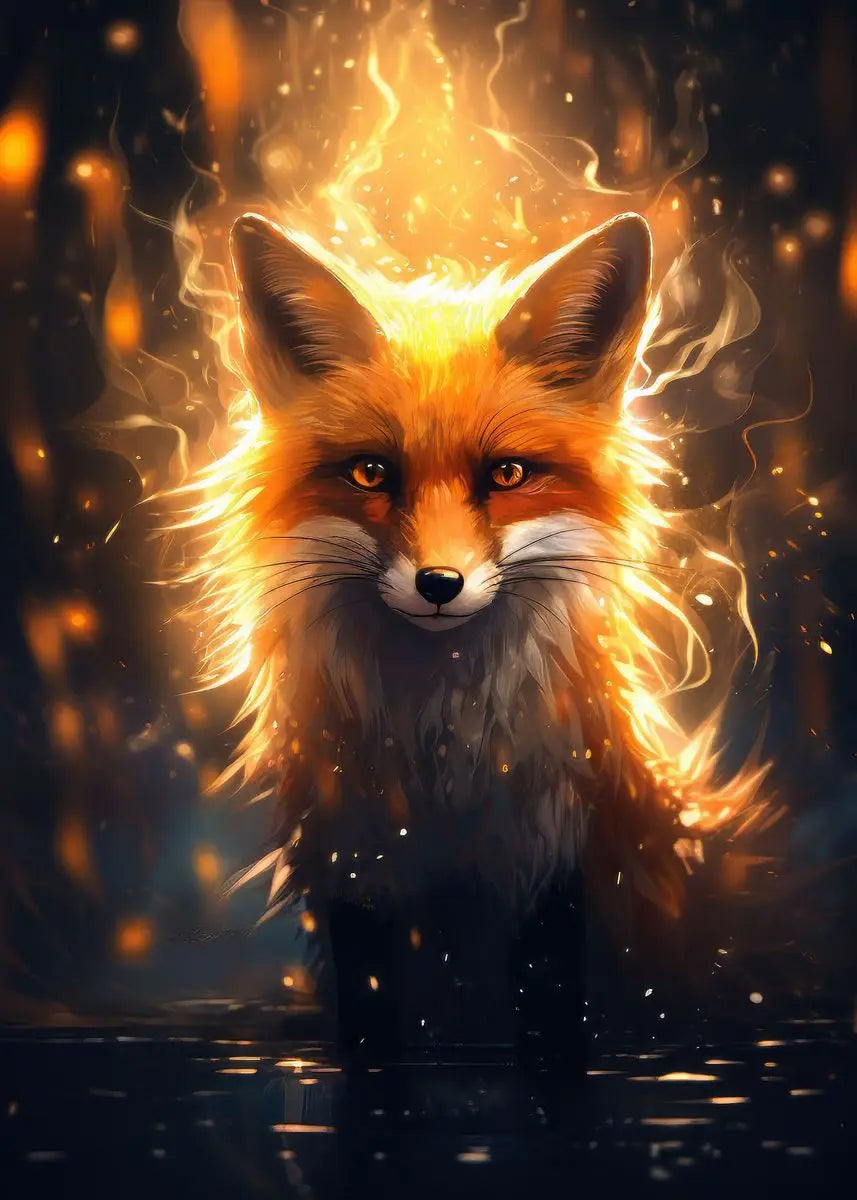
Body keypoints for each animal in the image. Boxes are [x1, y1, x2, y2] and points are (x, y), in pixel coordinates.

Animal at [190, 209, 705, 1065]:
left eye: (506, 475)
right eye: (370, 473)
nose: (438, 584)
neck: (440, 766)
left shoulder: (554, 857)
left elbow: (551, 1020)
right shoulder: (352, 863)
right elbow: (371, 1031)